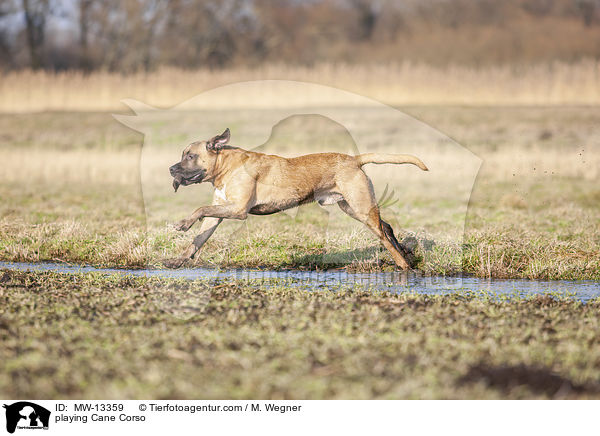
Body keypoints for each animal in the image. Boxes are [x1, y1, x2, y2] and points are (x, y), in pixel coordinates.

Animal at [164, 127, 426, 270]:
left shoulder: (237, 210)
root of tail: (354, 159)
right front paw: (179, 260)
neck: (225, 165)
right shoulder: (218, 213)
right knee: (387, 227)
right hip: (352, 207)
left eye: (189, 156)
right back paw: (405, 253)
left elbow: (200, 208)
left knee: (383, 234)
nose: (170, 169)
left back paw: (403, 264)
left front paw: (182, 224)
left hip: (361, 208)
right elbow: (198, 239)